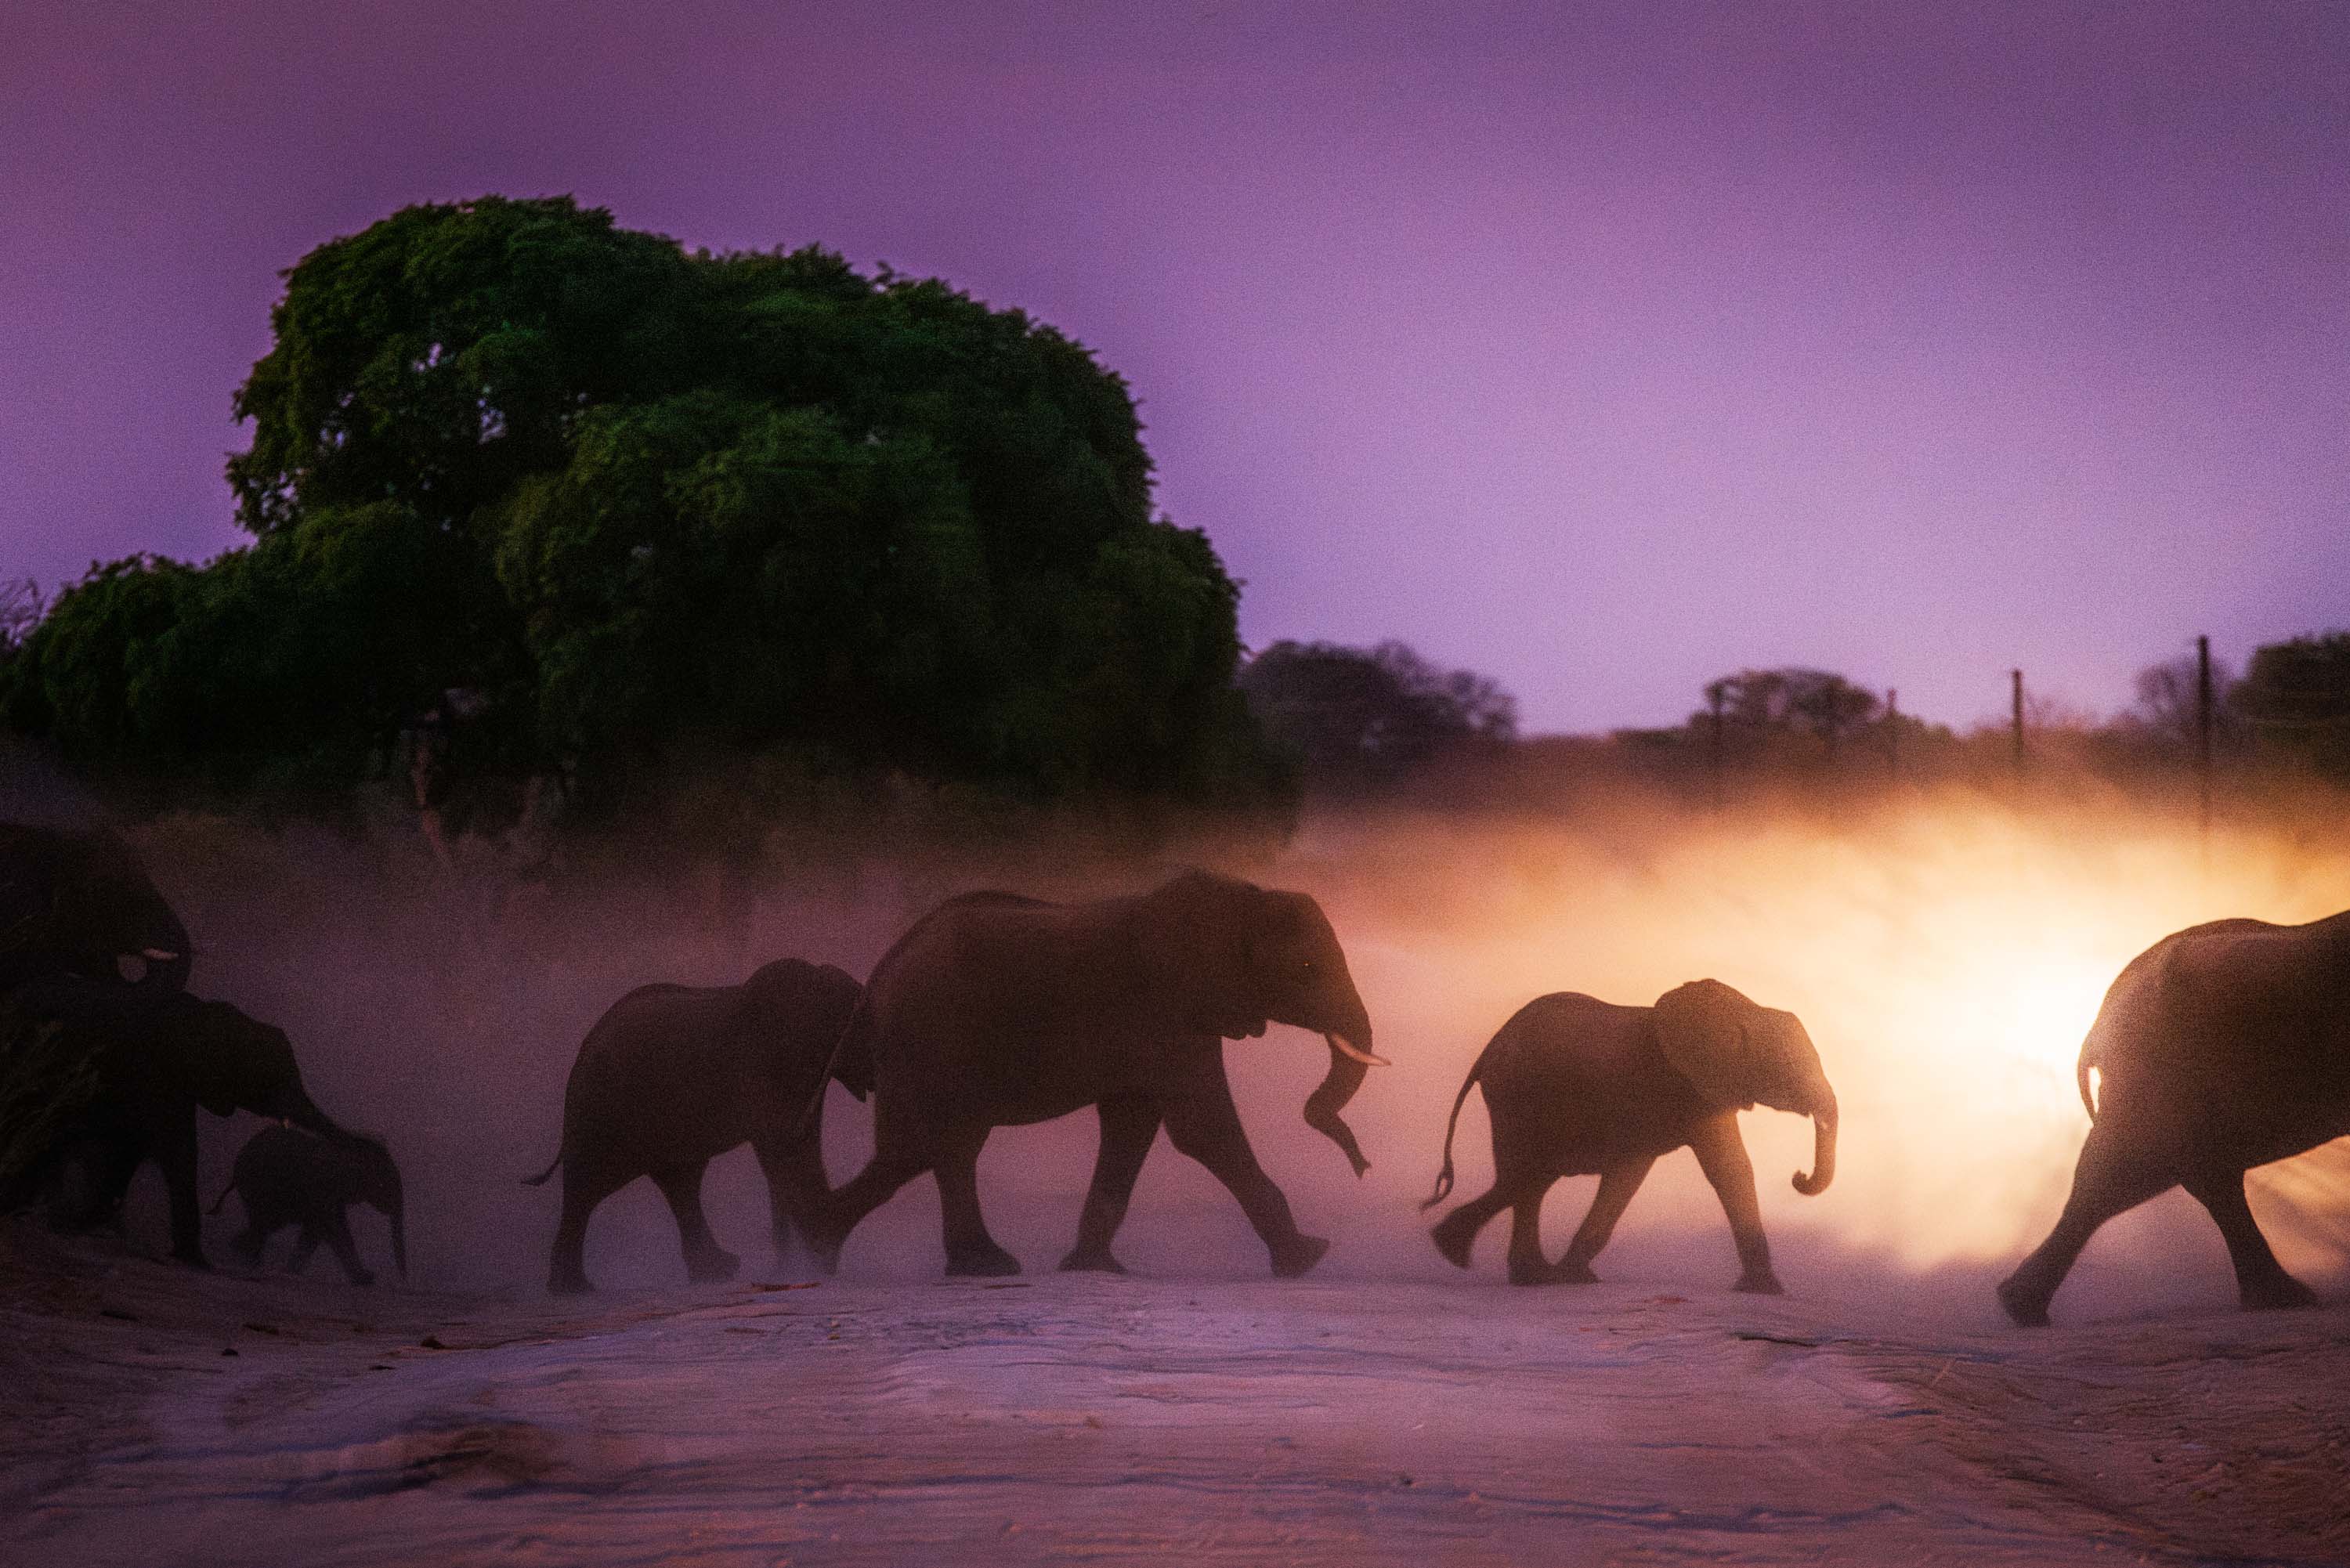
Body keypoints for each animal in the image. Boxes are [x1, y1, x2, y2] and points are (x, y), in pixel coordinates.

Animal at [0, 977, 363, 1267]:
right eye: (274, 1079)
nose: (367, 1143)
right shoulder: (160, 1073)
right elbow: (177, 1149)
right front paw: (198, 1263)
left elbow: (137, 1148)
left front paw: (85, 1225)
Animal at [210, 1124, 406, 1286]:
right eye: (383, 1184)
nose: (403, 1280)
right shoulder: (322, 1188)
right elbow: (329, 1229)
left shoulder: (333, 1195)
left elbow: (329, 1230)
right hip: (255, 1184)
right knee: (264, 1222)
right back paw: (247, 1256)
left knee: (264, 1224)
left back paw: (240, 1248)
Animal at [523, 957, 865, 1294]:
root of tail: (584, 1048)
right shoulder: (769, 1071)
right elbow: (782, 1145)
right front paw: (812, 1264)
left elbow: (795, 1142)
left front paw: (802, 1265)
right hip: (603, 1110)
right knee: (589, 1186)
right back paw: (574, 1289)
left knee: (681, 1182)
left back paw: (715, 1273)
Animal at [799, 871, 1384, 1280]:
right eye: (1307, 970)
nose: (1364, 1167)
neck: (1242, 898)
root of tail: (882, 970)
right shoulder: (1168, 1010)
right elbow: (1202, 1129)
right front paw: (1309, 1258)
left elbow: (1133, 1127)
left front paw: (1095, 1269)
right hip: (927, 1038)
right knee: (925, 1147)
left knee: (931, 1150)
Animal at [1424, 980, 1837, 1292]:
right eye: (1789, 1068)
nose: (1799, 1176)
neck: (1746, 1010)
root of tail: (1488, 1049)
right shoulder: (1669, 1088)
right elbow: (1631, 1171)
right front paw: (1573, 1277)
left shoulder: (1705, 1091)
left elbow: (1729, 1169)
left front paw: (1765, 1290)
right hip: (1514, 1095)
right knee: (1529, 1171)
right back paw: (1463, 1253)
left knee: (1533, 1177)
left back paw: (1521, 1272)